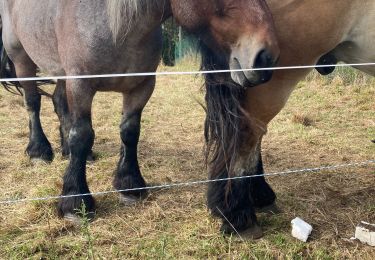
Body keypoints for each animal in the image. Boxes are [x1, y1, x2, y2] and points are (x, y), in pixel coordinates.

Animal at [0, 0, 280, 225]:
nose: (266, 57)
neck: (119, 29)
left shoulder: (142, 86)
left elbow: (130, 132)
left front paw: (129, 183)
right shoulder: (80, 84)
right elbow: (82, 135)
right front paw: (75, 200)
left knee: (59, 103)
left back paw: (68, 151)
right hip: (22, 59)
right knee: (33, 102)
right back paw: (39, 150)